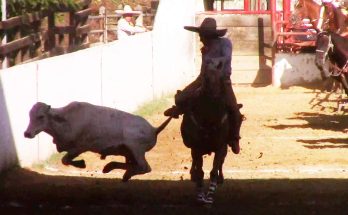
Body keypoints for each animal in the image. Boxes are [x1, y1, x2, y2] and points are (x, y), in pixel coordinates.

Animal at [23, 101, 173, 181]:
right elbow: (65, 160)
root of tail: (154, 129)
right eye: (29, 116)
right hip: (128, 153)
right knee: (133, 165)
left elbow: (65, 160)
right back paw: (110, 168)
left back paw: (124, 174)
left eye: (41, 116)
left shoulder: (79, 148)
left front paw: (82, 164)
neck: (66, 121)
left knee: (144, 167)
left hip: (136, 149)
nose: (27, 133)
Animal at [181, 57, 243, 205]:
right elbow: (200, 172)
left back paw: (220, 178)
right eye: (205, 78)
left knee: (221, 163)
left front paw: (209, 195)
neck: (208, 119)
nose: (214, 96)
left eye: (221, 79)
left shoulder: (220, 147)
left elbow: (214, 170)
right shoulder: (196, 148)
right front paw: (200, 195)